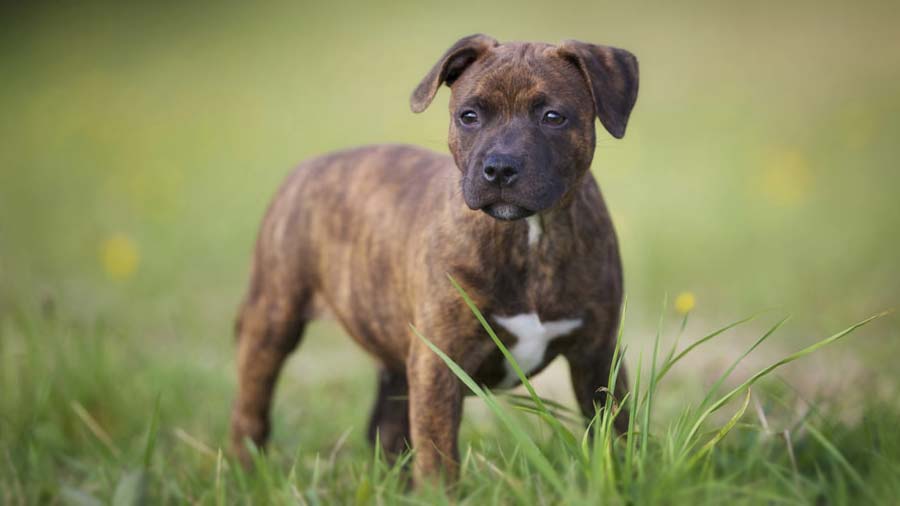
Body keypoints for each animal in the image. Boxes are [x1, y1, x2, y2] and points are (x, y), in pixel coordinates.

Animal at [232, 33, 640, 484]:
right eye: (469, 116)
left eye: (553, 117)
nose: (499, 168)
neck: (529, 237)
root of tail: (308, 166)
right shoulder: (438, 362)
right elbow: (439, 455)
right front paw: (440, 492)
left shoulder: (598, 356)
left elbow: (615, 433)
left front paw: (621, 477)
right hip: (273, 318)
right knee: (251, 407)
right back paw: (246, 472)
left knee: (387, 428)